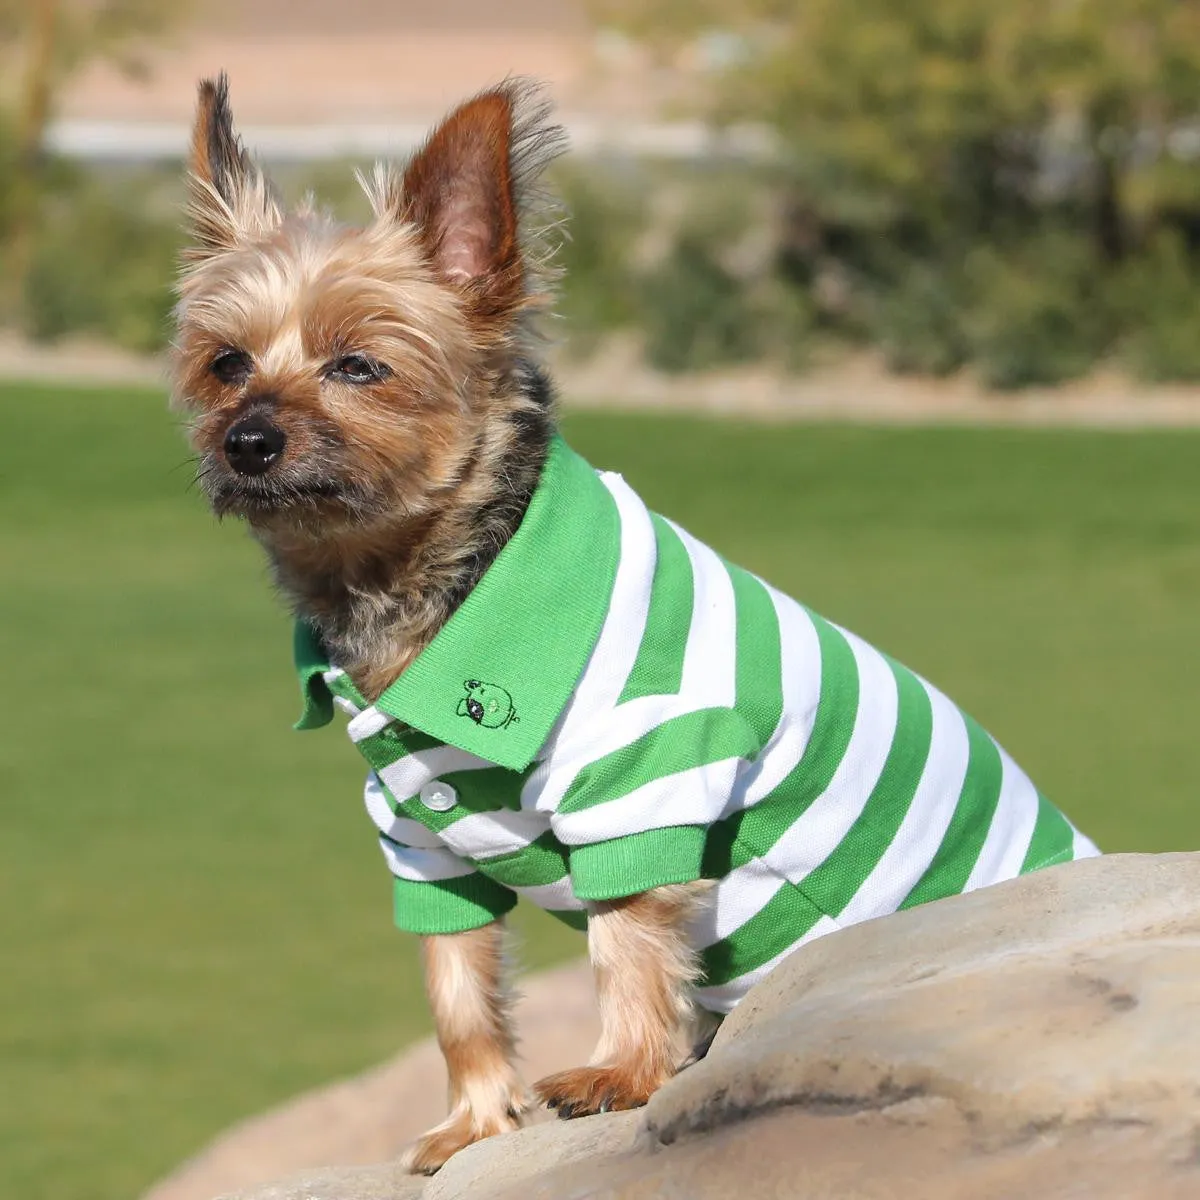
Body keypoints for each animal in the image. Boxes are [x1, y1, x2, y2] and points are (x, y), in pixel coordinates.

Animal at [174, 75, 1099, 1171]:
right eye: (226, 363)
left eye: (358, 366)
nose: (248, 440)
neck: (440, 589)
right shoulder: (418, 838)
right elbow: (457, 990)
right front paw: (474, 1123)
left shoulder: (640, 777)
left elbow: (626, 942)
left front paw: (620, 1074)